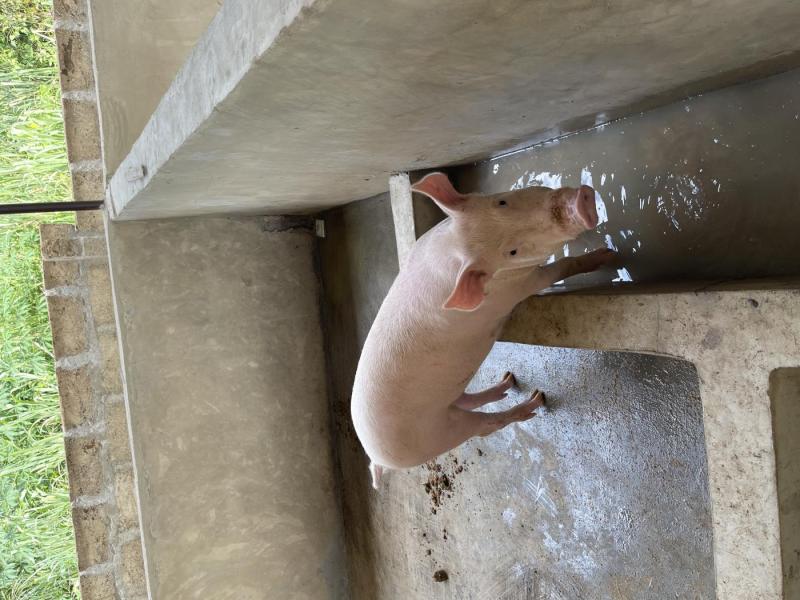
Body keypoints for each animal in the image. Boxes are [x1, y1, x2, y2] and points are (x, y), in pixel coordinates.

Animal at [351, 172, 615, 489]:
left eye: (501, 201)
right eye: (512, 251)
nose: (581, 204)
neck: (451, 252)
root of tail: (376, 459)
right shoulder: (517, 288)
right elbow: (560, 268)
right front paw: (608, 255)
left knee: (466, 398)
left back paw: (506, 383)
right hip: (436, 436)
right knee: (486, 426)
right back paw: (533, 401)